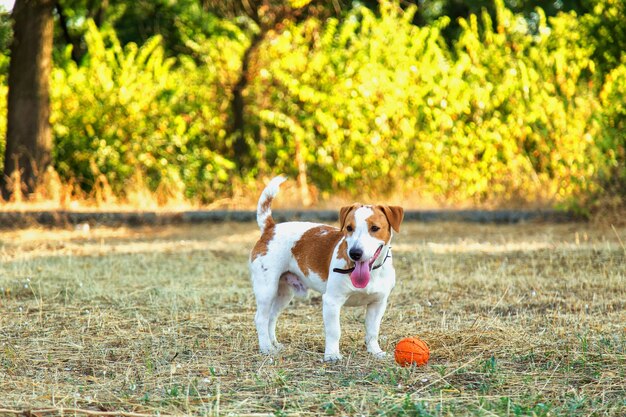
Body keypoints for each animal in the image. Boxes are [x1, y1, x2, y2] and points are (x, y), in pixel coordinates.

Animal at [246, 174, 402, 360]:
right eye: (349, 228)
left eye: (375, 228)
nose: (355, 253)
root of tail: (271, 228)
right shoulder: (332, 301)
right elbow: (334, 331)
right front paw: (332, 355)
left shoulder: (377, 304)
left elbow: (372, 331)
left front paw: (375, 351)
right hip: (267, 290)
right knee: (261, 318)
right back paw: (266, 348)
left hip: (284, 293)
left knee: (271, 317)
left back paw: (274, 345)